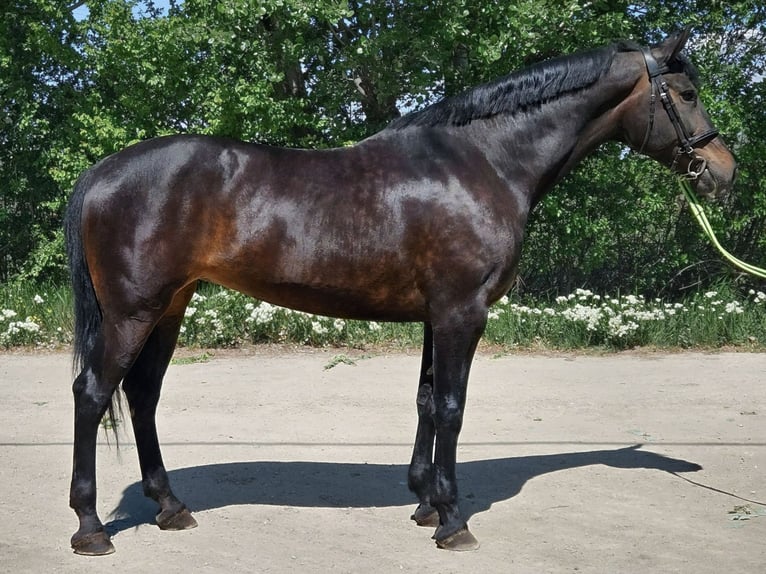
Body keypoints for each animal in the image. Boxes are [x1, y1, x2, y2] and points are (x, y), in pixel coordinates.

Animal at [65, 30, 736, 555]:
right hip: (133, 312)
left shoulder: (437, 316)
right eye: (686, 94)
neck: (484, 162)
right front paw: (453, 520)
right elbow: (452, 408)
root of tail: (102, 172)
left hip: (169, 307)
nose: (724, 173)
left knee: (142, 395)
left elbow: (426, 401)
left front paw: (425, 503)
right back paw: (91, 527)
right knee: (94, 394)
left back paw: (170, 507)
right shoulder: (462, 313)